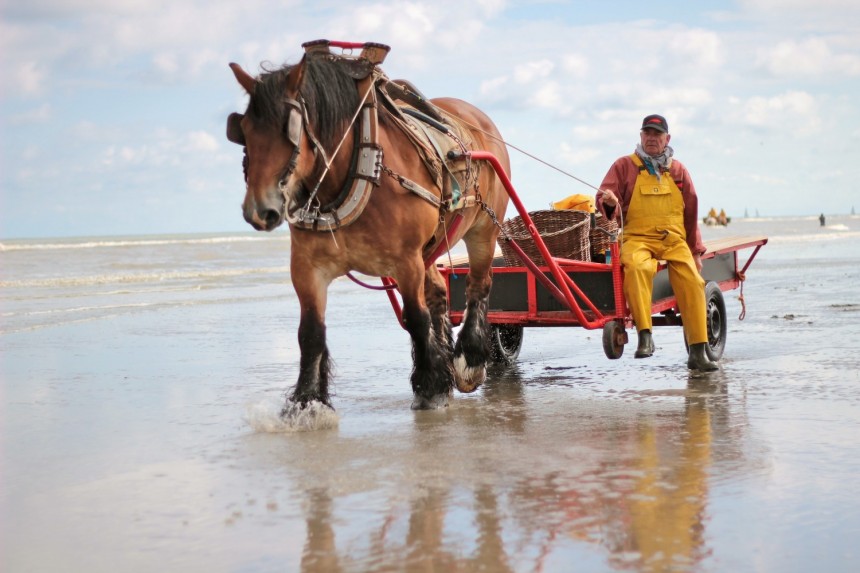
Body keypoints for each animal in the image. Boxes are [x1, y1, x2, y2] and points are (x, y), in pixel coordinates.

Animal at [227, 42, 510, 414]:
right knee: (438, 293)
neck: (354, 170)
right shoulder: (307, 267)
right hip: (432, 246)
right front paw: (307, 402)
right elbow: (310, 332)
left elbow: (415, 318)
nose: (260, 210)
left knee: (479, 284)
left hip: (482, 229)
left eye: (290, 131)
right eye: (243, 131)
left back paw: (470, 361)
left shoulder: (405, 261)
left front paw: (430, 386)